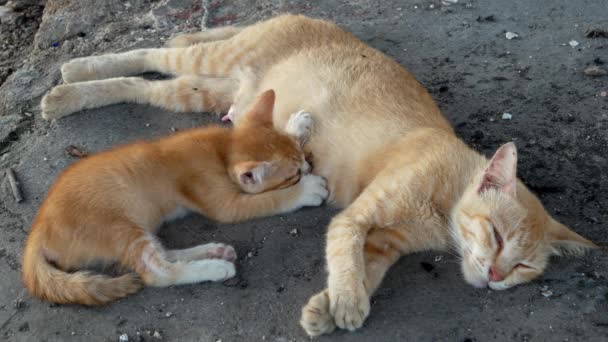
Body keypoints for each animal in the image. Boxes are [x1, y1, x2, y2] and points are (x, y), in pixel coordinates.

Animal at [23, 90, 328, 304]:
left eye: (301, 154)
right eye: (293, 176)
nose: (308, 167)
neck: (220, 150)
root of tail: (38, 230)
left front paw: (296, 124)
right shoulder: (224, 204)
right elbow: (270, 200)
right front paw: (308, 190)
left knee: (163, 253)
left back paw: (212, 251)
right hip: (119, 229)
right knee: (157, 272)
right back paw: (215, 268)